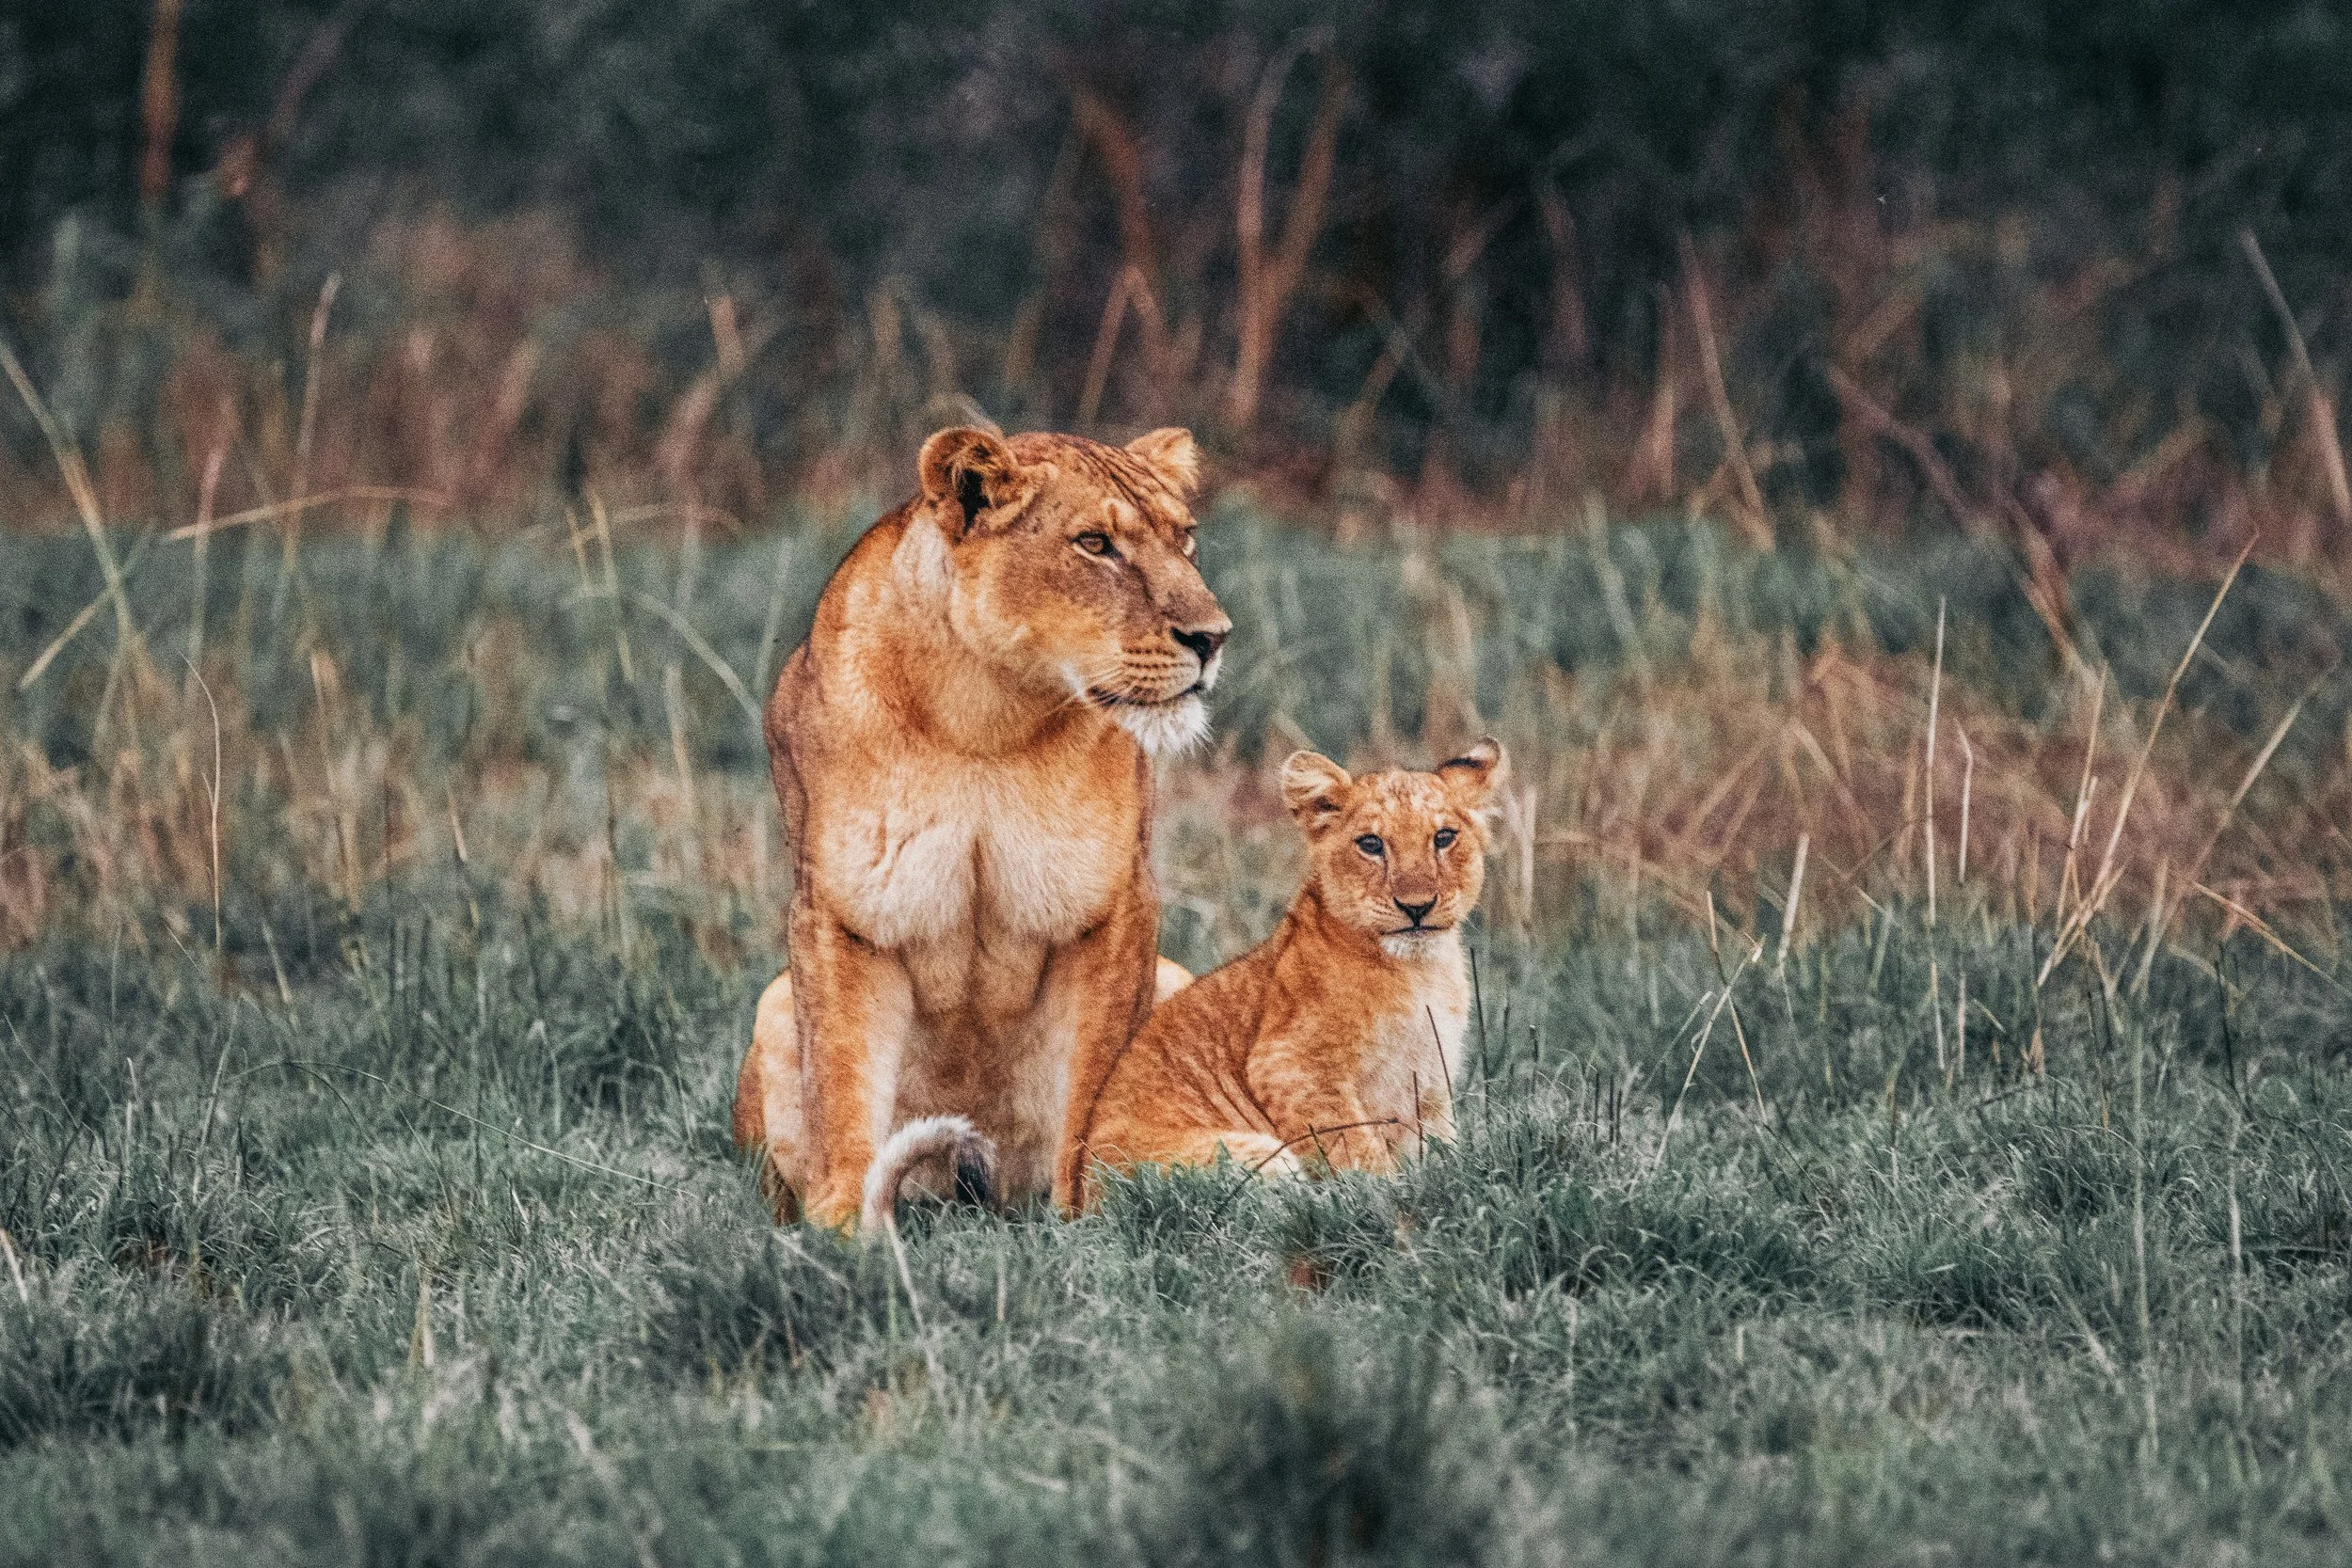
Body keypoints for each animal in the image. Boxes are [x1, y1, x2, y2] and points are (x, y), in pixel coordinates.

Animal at [739, 424, 1230, 1230]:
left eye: (1183, 538)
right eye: (1095, 544)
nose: (1214, 638)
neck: (987, 713)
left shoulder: (1116, 907)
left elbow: (1095, 1081)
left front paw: (1087, 1216)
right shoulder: (842, 914)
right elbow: (841, 1076)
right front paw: (840, 1222)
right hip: (774, 1003)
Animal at [1064, 740, 1505, 1210]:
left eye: (1444, 838)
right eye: (1370, 844)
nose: (1417, 907)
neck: (1420, 969)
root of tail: (1086, 1199)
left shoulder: (1431, 1085)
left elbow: (1441, 1151)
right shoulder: (1289, 1068)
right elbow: (1358, 1151)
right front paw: (1391, 1200)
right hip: (1253, 1152)